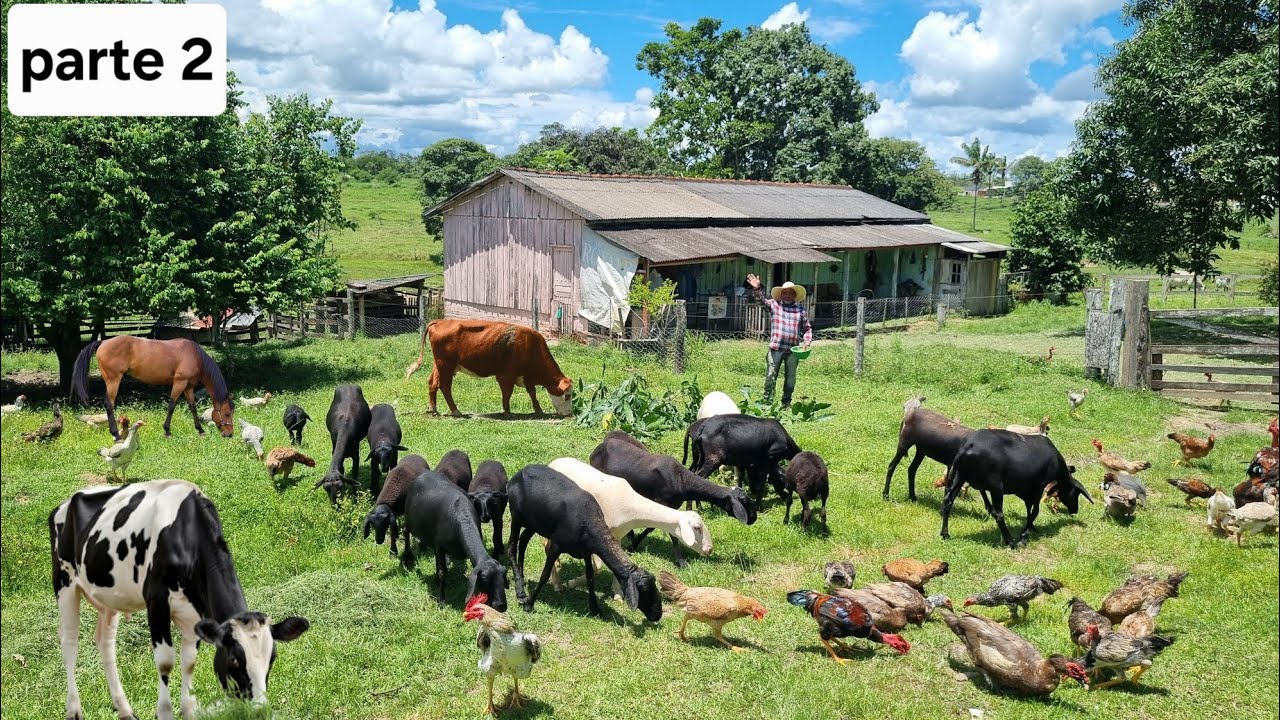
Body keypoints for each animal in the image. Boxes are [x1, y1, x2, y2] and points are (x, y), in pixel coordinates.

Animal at [49, 480, 310, 720]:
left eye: (272, 658)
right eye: (235, 659)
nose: (259, 710)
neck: (186, 533)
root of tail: (65, 503)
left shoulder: (194, 612)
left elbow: (189, 661)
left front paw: (188, 710)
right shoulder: (157, 601)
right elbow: (166, 662)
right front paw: (164, 712)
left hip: (108, 597)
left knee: (105, 643)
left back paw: (125, 710)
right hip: (65, 582)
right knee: (69, 643)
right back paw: (74, 710)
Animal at [72, 336, 235, 439]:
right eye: (227, 414)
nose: (230, 434)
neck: (195, 356)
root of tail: (103, 342)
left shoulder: (188, 387)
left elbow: (192, 407)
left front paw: (200, 430)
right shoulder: (179, 383)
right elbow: (172, 405)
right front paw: (167, 431)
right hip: (113, 381)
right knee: (109, 404)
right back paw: (116, 434)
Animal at [404, 319, 573, 417]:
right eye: (567, 395)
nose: (569, 413)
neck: (530, 345)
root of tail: (440, 321)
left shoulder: (527, 377)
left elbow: (532, 393)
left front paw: (538, 410)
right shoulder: (506, 375)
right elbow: (507, 393)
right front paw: (507, 412)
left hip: (439, 365)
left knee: (432, 383)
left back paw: (433, 409)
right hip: (446, 365)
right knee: (445, 386)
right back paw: (456, 411)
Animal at [940, 429, 1093, 548]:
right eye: (1075, 493)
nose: (1075, 510)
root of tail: (967, 447)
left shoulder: (1028, 490)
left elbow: (1029, 509)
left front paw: (1031, 528)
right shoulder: (1038, 486)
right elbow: (1035, 511)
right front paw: (1024, 535)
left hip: (961, 476)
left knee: (948, 501)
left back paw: (945, 533)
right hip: (995, 485)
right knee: (998, 513)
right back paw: (1011, 542)